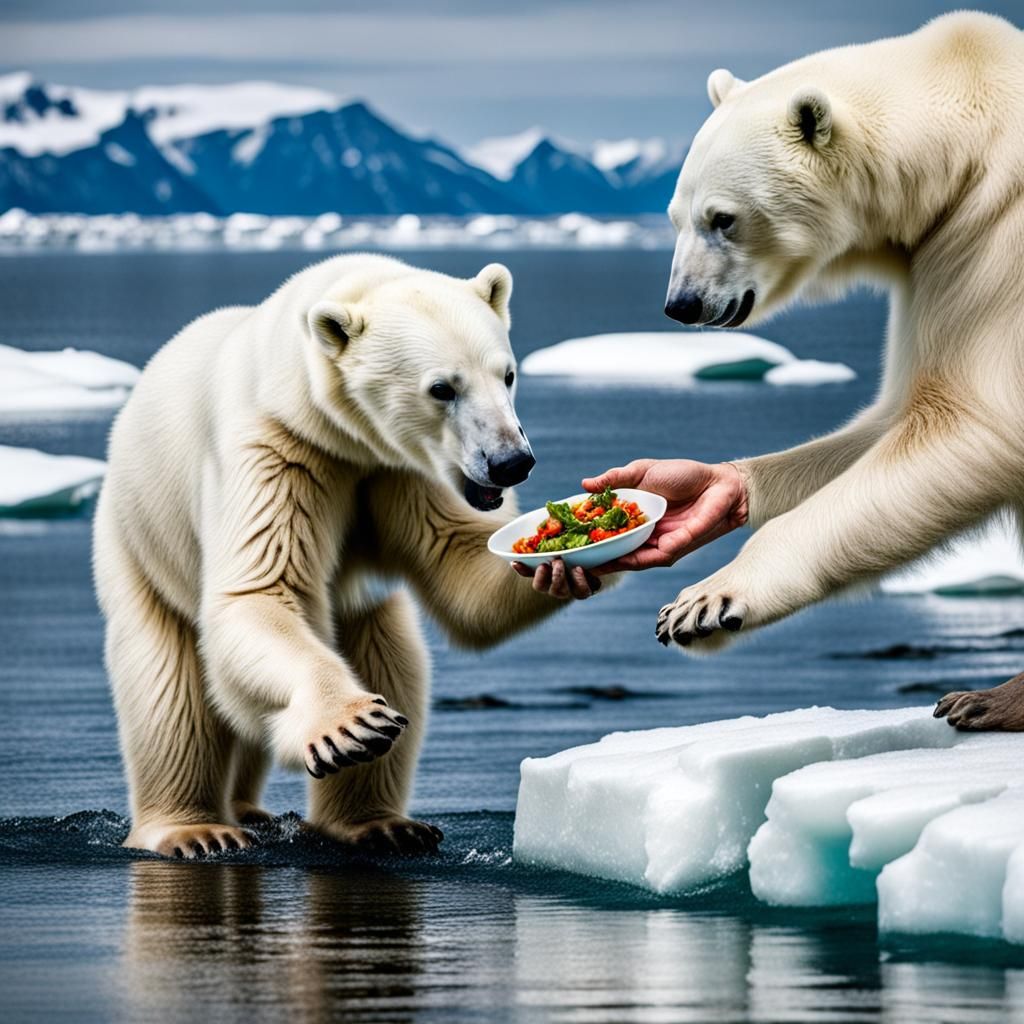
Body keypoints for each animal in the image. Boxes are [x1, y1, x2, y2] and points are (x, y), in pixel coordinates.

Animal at [93, 254, 589, 858]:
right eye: (442, 388)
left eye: (508, 374)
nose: (511, 462)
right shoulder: (279, 451)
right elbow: (258, 593)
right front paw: (350, 726)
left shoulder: (400, 471)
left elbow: (463, 569)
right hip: (139, 541)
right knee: (169, 693)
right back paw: (196, 830)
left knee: (389, 653)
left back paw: (376, 824)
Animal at [650, 9, 1024, 711]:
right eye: (675, 217)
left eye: (724, 218)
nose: (681, 305)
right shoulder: (937, 252)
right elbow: (894, 416)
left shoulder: (995, 239)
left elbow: (973, 424)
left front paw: (708, 600)